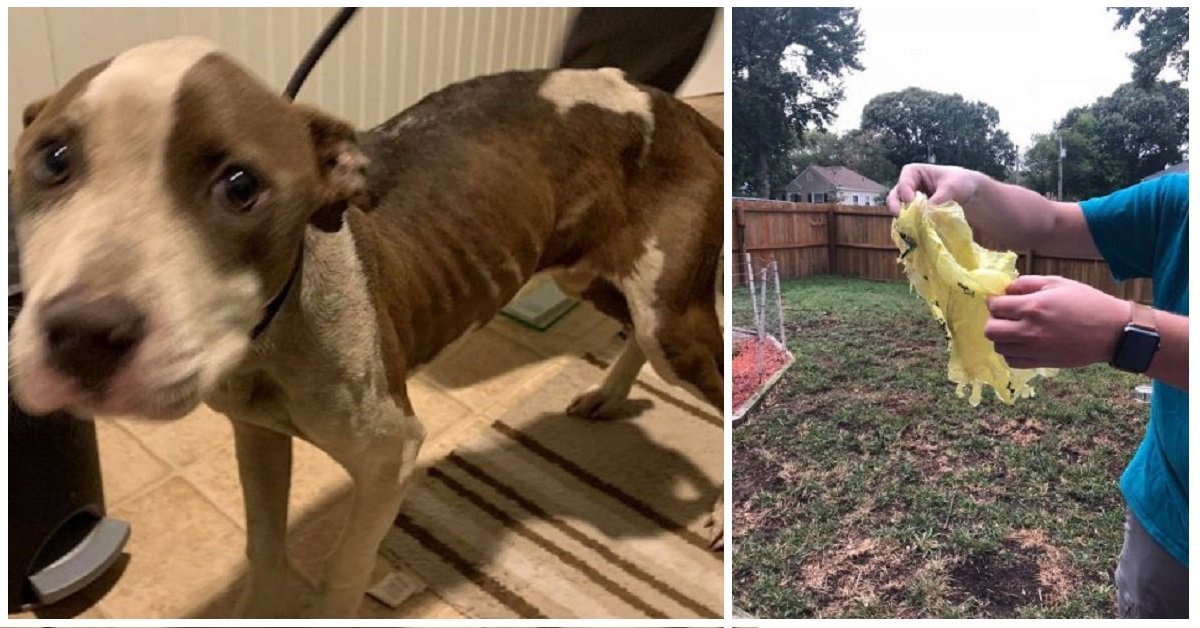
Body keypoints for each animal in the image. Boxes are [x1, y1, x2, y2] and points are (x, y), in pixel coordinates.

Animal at [9, 35, 720, 619]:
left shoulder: (388, 456)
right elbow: (264, 544)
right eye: (53, 159)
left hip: (671, 322)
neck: (272, 336)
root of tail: (671, 104)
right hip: (593, 278)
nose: (82, 332)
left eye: (239, 185)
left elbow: (345, 568)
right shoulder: (256, 436)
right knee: (634, 338)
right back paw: (608, 393)